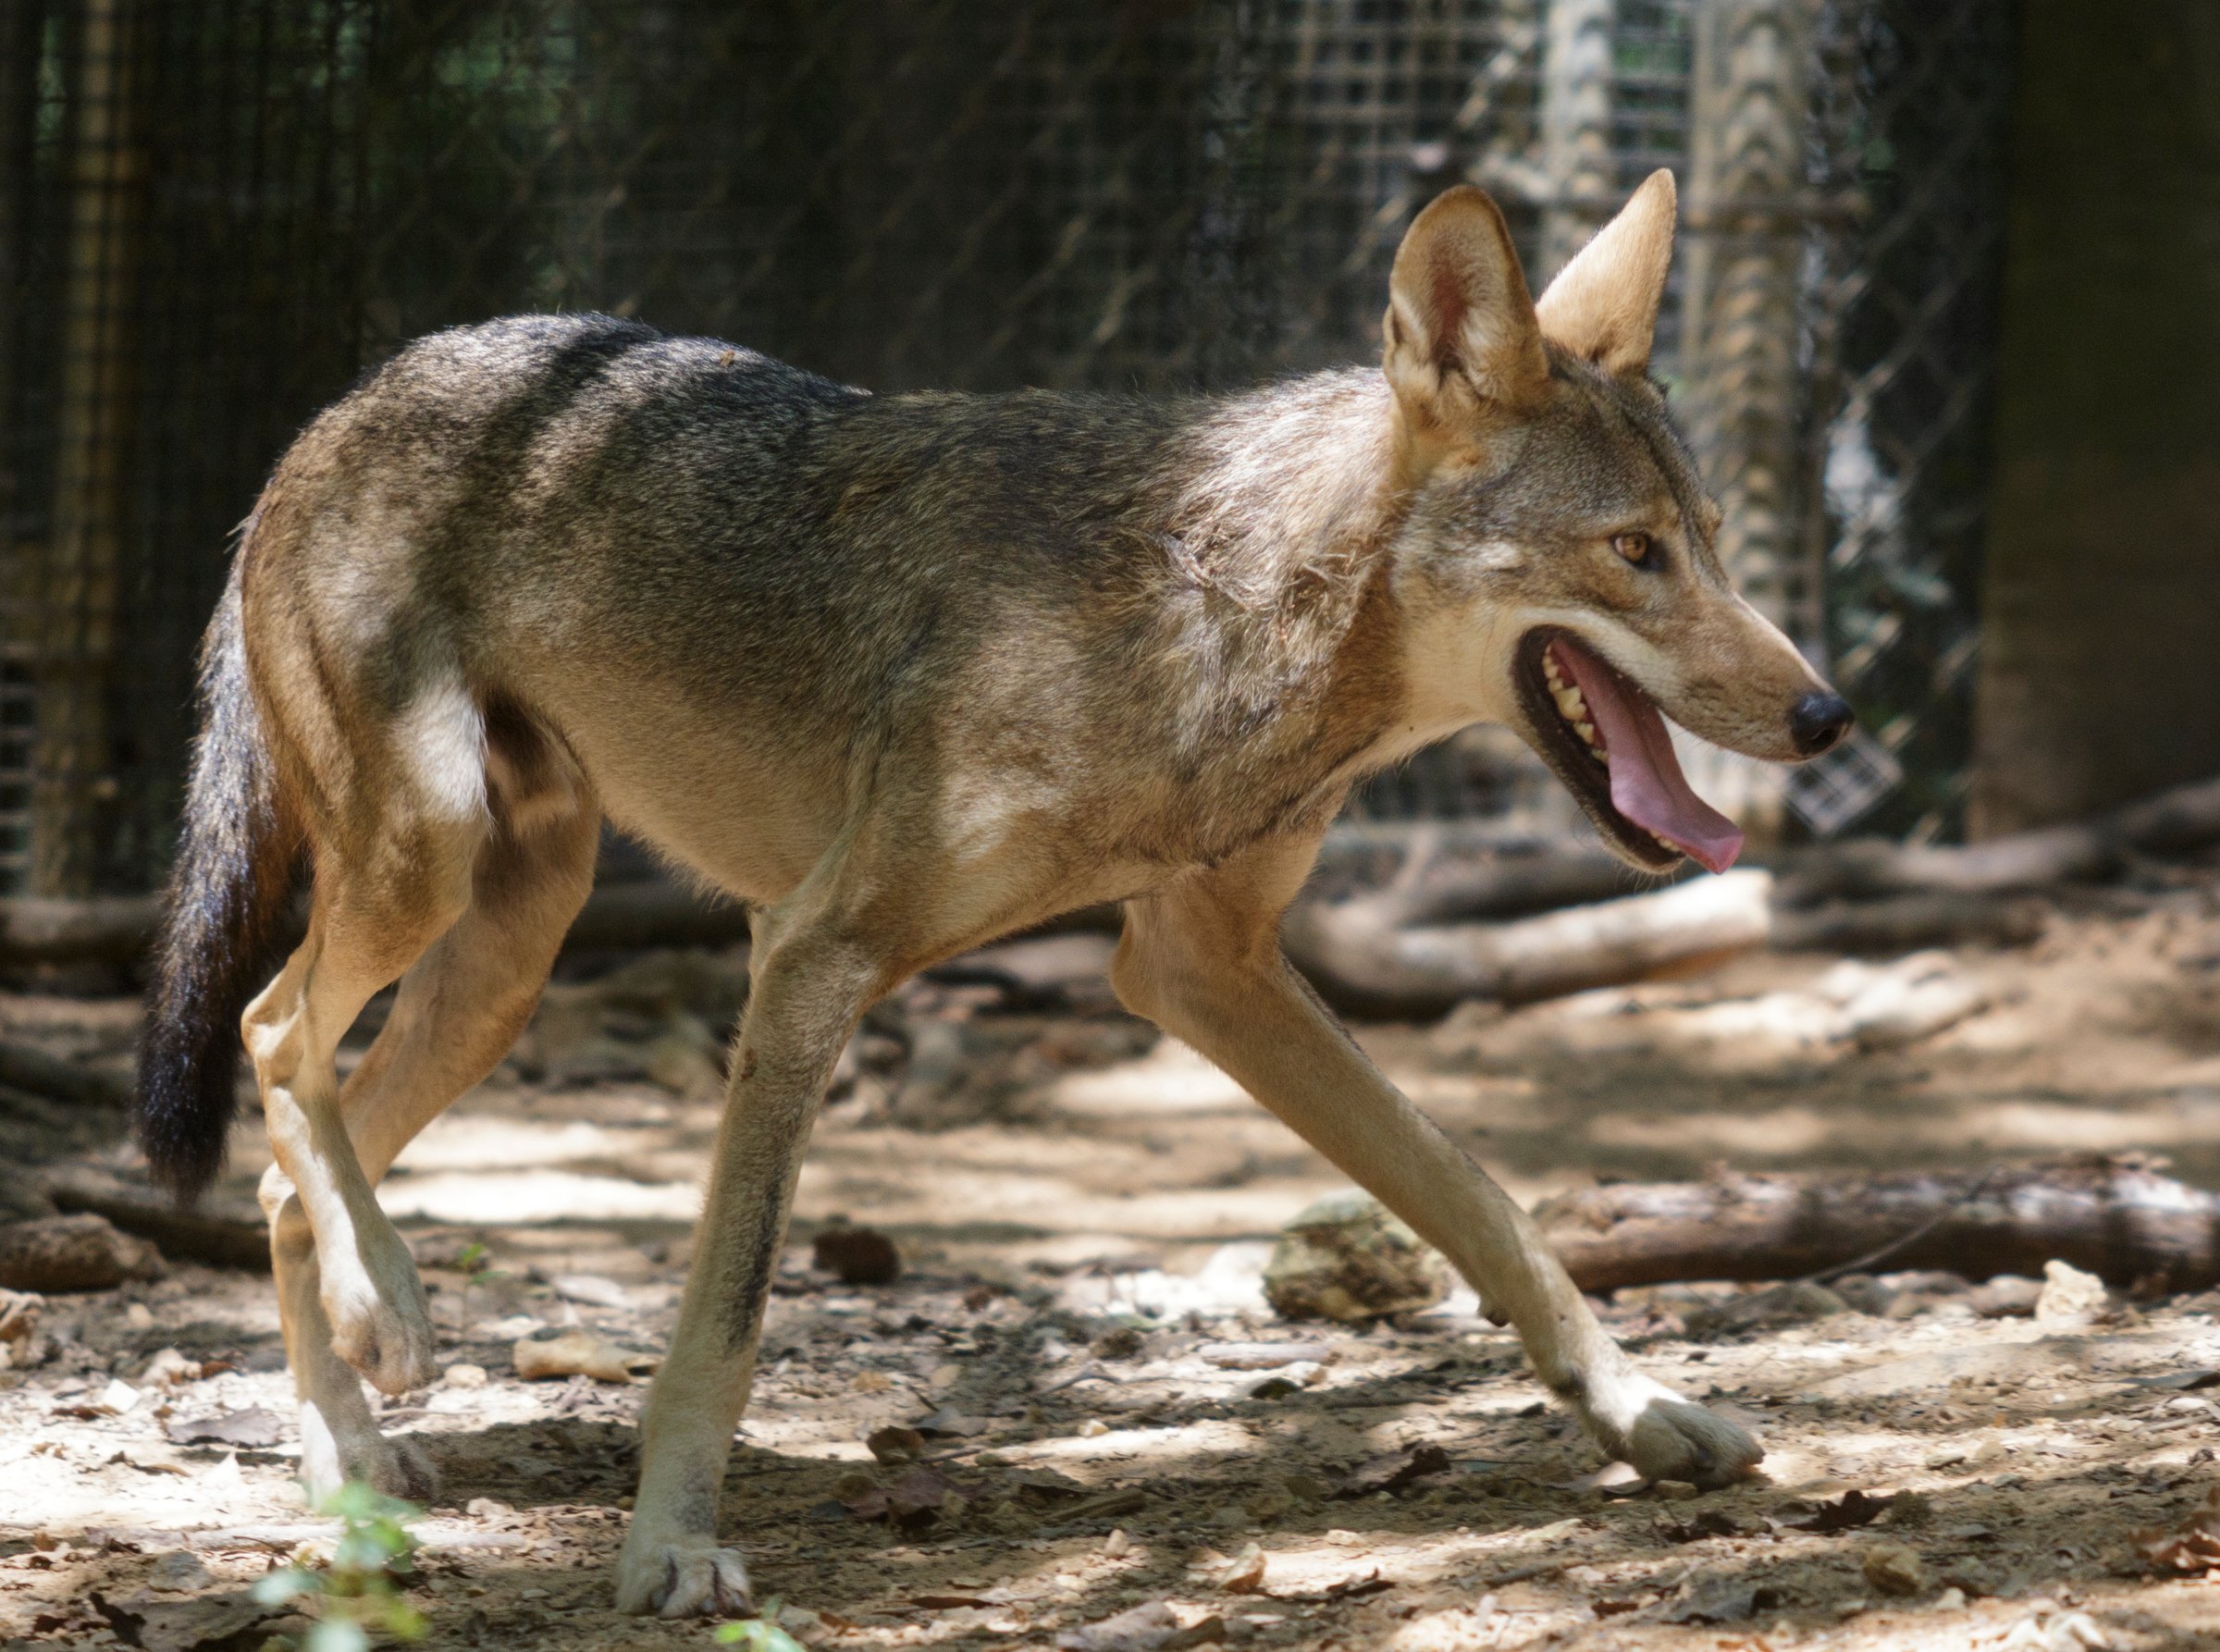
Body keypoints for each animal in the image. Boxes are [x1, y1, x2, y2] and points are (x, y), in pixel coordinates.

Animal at [135, 172, 1850, 1616]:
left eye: (1709, 543)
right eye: (1632, 553)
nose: (1829, 715)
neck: (1222, 608)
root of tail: (331, 413)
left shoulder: (1202, 966)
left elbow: (1479, 1195)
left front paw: (1643, 1412)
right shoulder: (813, 955)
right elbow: (728, 1311)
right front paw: (671, 1548)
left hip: (512, 945)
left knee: (286, 1158)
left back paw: (349, 1459)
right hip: (427, 860)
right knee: (275, 1033)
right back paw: (384, 1327)